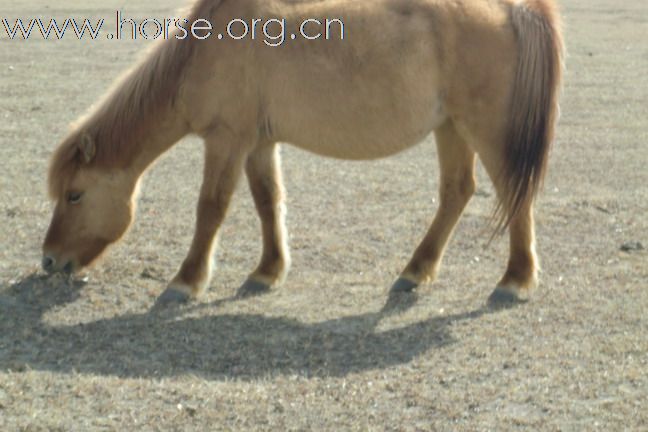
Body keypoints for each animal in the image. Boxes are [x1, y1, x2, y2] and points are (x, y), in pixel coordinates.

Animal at [43, 0, 564, 306]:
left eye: (74, 195)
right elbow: (267, 203)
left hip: (485, 129)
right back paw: (416, 272)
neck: (206, 51)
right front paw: (267, 271)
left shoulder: (226, 140)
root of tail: (513, 7)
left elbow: (211, 209)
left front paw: (186, 281)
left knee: (513, 196)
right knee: (457, 192)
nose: (48, 261)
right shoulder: (258, 144)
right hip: (451, 127)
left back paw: (515, 279)